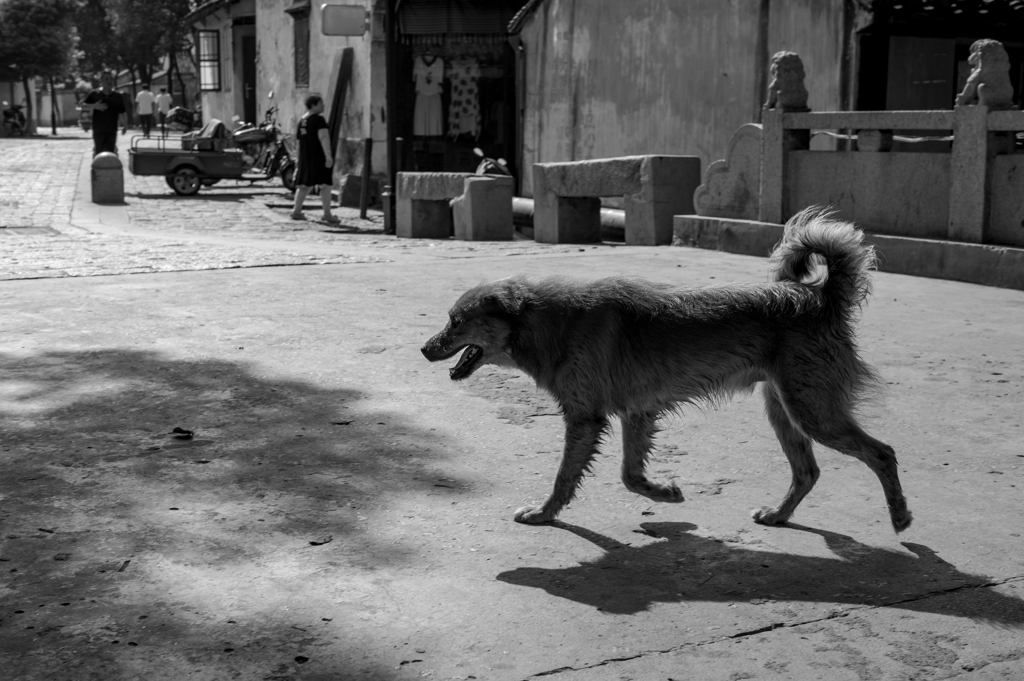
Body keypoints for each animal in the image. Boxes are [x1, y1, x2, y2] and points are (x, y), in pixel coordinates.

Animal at [421, 206, 913, 532]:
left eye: (456, 321)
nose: (424, 349)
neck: (544, 321)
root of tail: (819, 298)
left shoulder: (584, 419)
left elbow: (565, 476)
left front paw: (544, 514)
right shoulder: (637, 414)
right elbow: (629, 475)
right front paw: (664, 493)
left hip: (813, 411)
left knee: (882, 453)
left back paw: (900, 515)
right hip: (785, 411)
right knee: (807, 472)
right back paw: (779, 514)